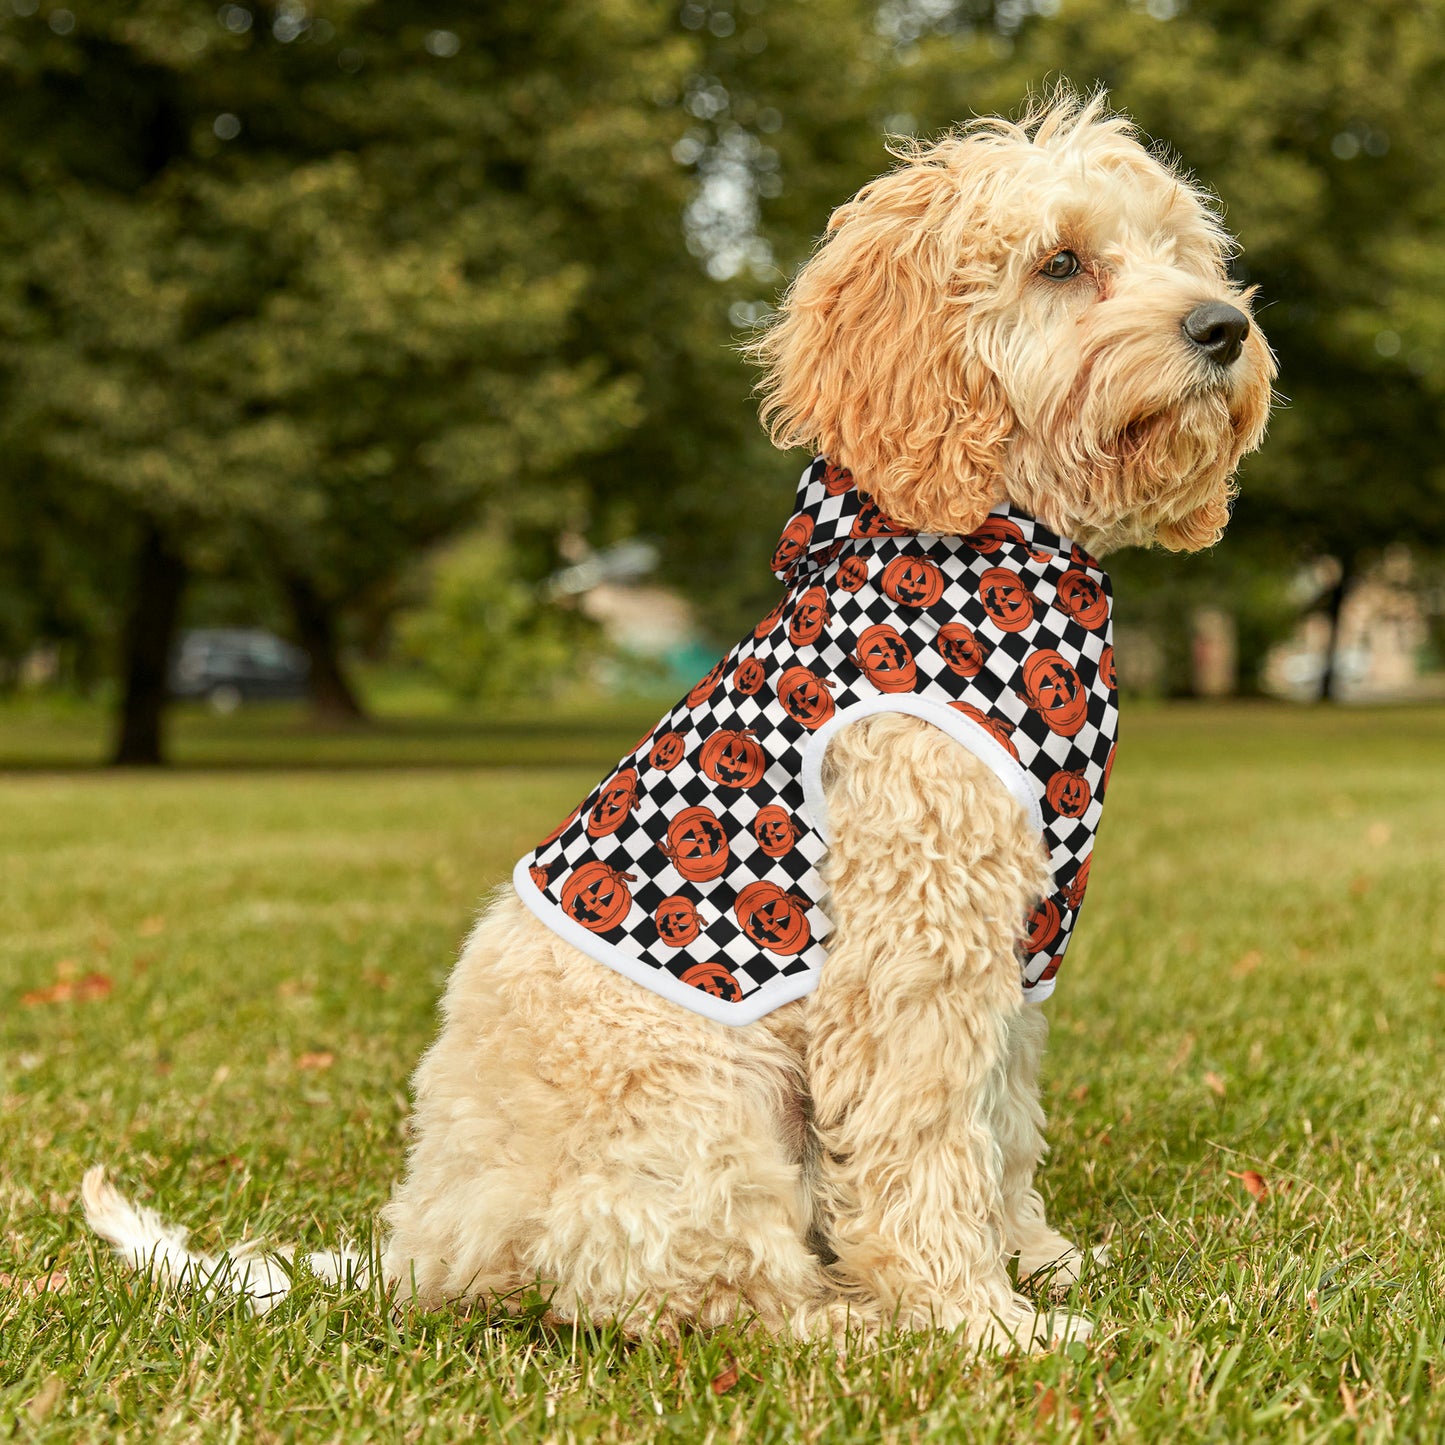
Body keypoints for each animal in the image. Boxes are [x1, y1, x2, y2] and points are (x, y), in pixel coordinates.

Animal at [84, 93, 1271, 1352]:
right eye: (1060, 262)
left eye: (1180, 252)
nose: (1222, 326)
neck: (996, 552)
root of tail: (424, 1246)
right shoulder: (913, 942)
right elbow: (923, 1138)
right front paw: (976, 1318)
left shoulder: (1012, 943)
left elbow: (998, 1121)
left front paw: (1034, 1259)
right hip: (703, 1105)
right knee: (699, 1291)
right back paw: (852, 1322)